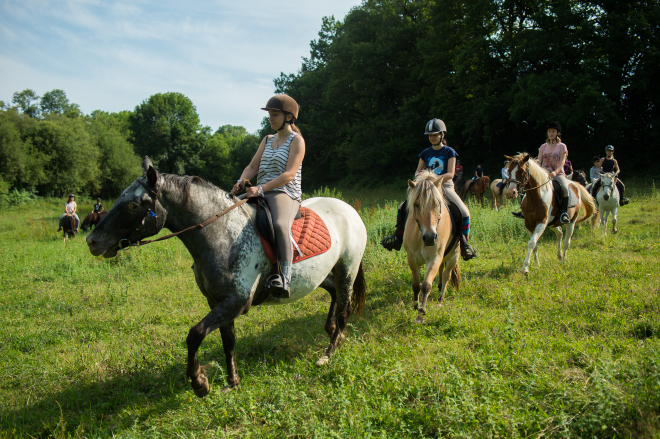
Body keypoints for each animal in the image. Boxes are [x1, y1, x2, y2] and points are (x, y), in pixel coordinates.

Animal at [85, 159, 368, 398]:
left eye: (133, 204)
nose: (92, 241)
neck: (222, 233)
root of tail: (349, 209)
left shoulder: (236, 302)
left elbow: (195, 334)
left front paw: (199, 382)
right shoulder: (218, 301)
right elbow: (227, 341)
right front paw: (232, 382)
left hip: (347, 269)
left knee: (344, 308)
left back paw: (329, 351)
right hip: (322, 274)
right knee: (334, 294)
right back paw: (332, 331)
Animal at [402, 170, 458, 324]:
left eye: (437, 203)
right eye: (416, 204)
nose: (430, 237)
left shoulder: (434, 258)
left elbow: (426, 285)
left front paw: (421, 314)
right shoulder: (412, 258)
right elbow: (416, 284)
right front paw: (415, 305)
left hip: (454, 256)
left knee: (446, 275)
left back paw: (440, 299)